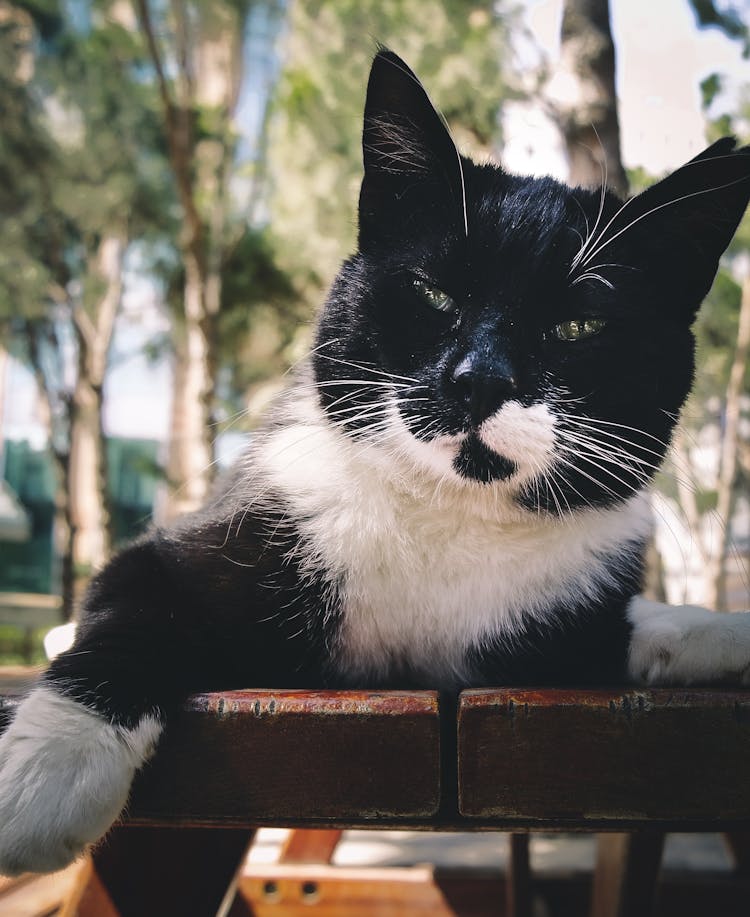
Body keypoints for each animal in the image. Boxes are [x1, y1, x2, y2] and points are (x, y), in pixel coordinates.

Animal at [1, 48, 750, 872]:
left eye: (578, 326)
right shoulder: (211, 537)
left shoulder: (550, 629)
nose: (480, 380)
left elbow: (622, 633)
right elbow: (132, 602)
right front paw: (48, 769)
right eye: (432, 293)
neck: (449, 518)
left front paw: (716, 629)